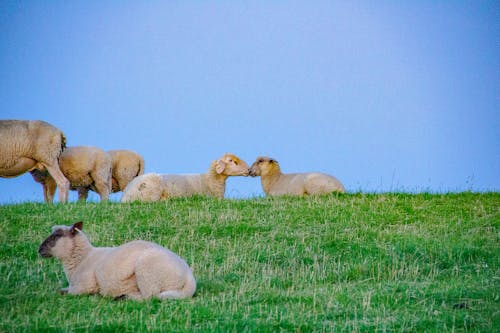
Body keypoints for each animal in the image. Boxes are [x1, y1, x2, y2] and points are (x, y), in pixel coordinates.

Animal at [38, 222, 195, 300]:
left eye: (57, 235)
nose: (39, 250)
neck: (82, 259)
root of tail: (189, 277)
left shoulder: (83, 287)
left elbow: (65, 293)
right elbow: (61, 290)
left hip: (147, 271)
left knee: (150, 296)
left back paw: (125, 297)